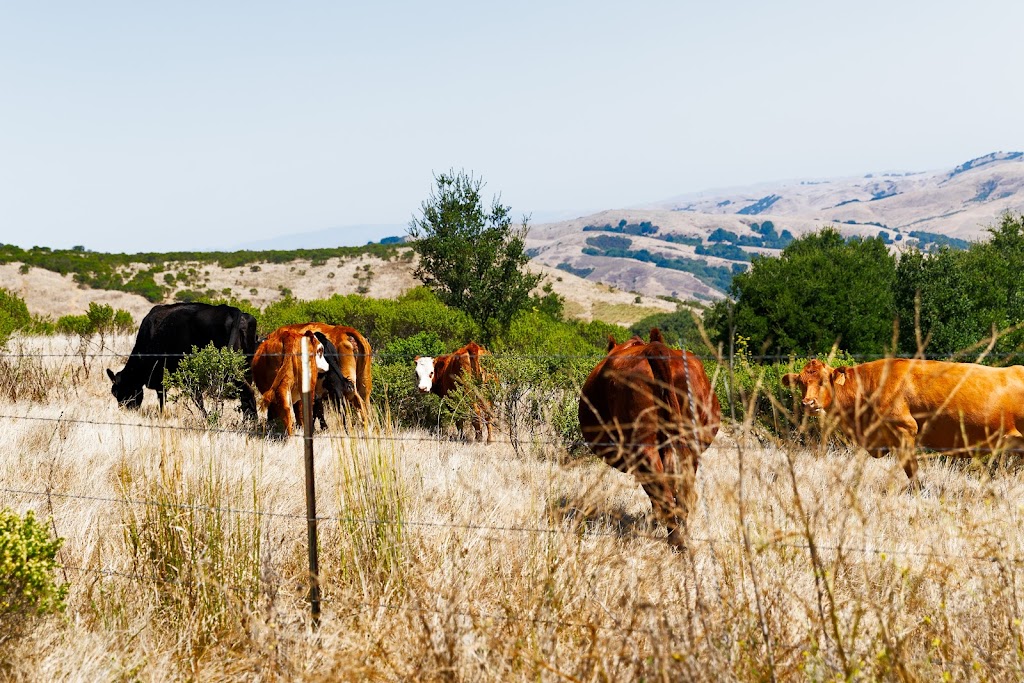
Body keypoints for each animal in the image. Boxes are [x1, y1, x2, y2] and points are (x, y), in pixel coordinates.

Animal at [105, 305, 258, 417]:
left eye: (119, 392)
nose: (124, 411)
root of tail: (232, 310)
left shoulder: (166, 377)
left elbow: (168, 399)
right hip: (246, 368)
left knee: (247, 393)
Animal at [577, 327, 720, 548]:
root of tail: (655, 348)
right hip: (688, 444)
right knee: (682, 494)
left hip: (643, 447)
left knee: (665, 496)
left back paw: (676, 543)